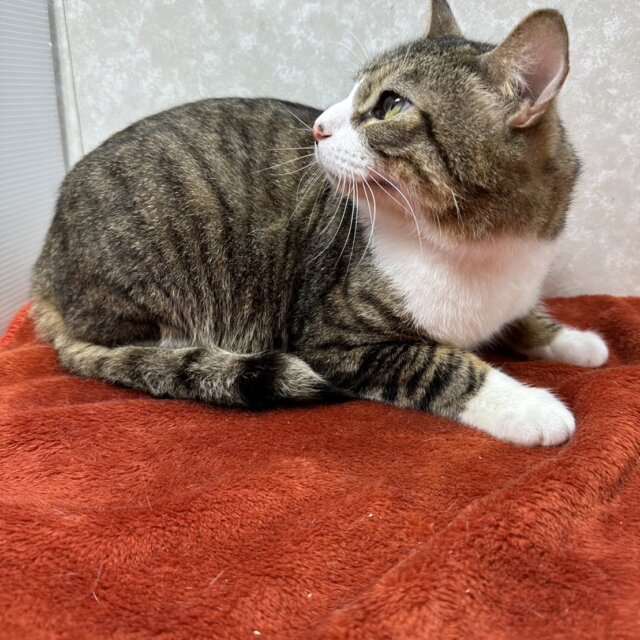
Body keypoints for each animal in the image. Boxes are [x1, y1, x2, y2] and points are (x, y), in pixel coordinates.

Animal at [32, 0, 608, 446]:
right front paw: (529, 407)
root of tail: (46, 257)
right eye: (354, 92)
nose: (318, 127)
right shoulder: (333, 338)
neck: (476, 247)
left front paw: (575, 341)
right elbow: (443, 365)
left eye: (390, 104)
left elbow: (526, 316)